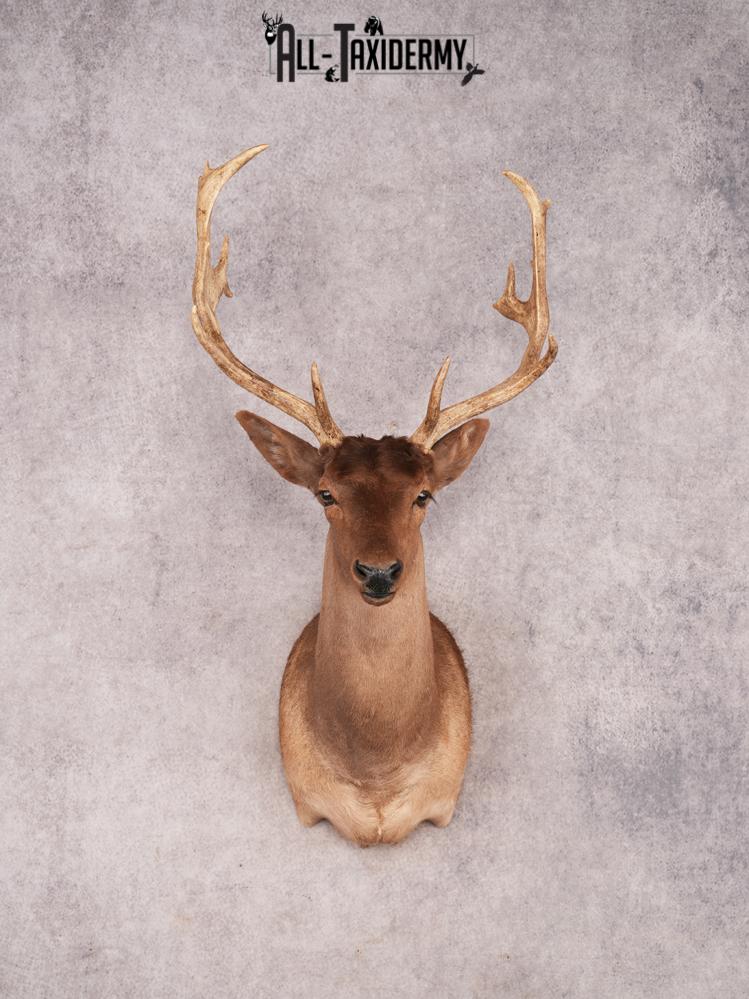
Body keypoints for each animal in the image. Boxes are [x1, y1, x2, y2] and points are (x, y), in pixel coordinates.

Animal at [191, 145, 557, 846]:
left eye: (424, 495)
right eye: (325, 494)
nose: (380, 571)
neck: (377, 779)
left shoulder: (443, 805)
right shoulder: (307, 805)